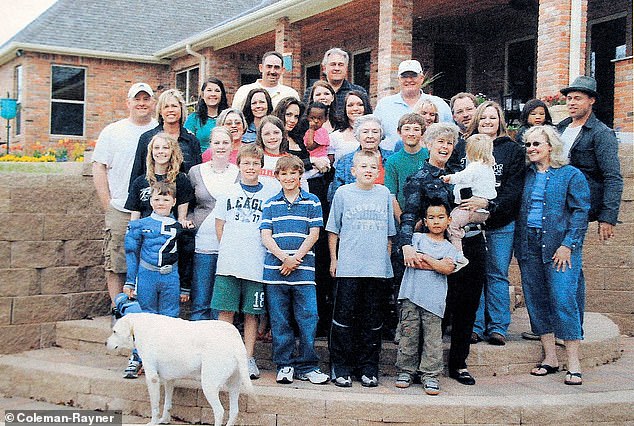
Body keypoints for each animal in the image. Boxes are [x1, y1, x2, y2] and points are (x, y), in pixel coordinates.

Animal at [106, 312, 252, 424]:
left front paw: (154, 422)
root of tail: (234, 340)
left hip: (209, 385)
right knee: (234, 411)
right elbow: (167, 403)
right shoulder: (169, 379)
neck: (137, 327)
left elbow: (155, 405)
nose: (106, 343)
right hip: (234, 385)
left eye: (114, 331)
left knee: (220, 411)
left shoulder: (152, 378)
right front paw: (164, 420)